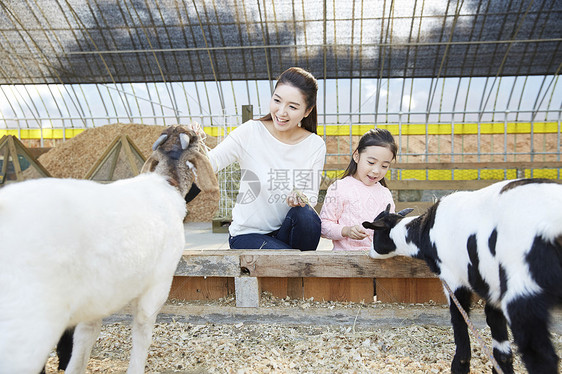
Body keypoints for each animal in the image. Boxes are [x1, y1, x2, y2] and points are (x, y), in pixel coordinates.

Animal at [0, 125, 217, 374]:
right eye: (193, 139)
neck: (167, 182)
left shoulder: (95, 297)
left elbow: (86, 335)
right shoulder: (159, 282)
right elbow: (143, 329)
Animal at [360, 178, 556, 374]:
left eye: (374, 234)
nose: (370, 252)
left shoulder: (453, 278)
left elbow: (459, 318)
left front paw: (459, 365)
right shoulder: (492, 287)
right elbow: (496, 328)